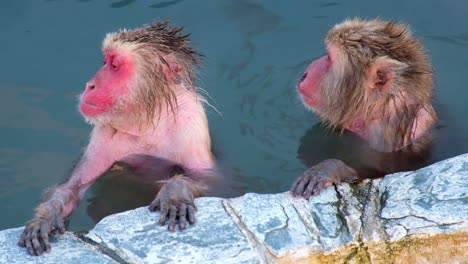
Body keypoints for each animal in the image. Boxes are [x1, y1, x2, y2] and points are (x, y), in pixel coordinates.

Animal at [18, 21, 216, 256]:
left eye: (114, 66)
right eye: (105, 62)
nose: (90, 85)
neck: (147, 117)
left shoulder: (192, 121)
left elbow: (215, 182)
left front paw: (176, 191)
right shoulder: (103, 131)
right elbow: (73, 187)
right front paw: (47, 214)